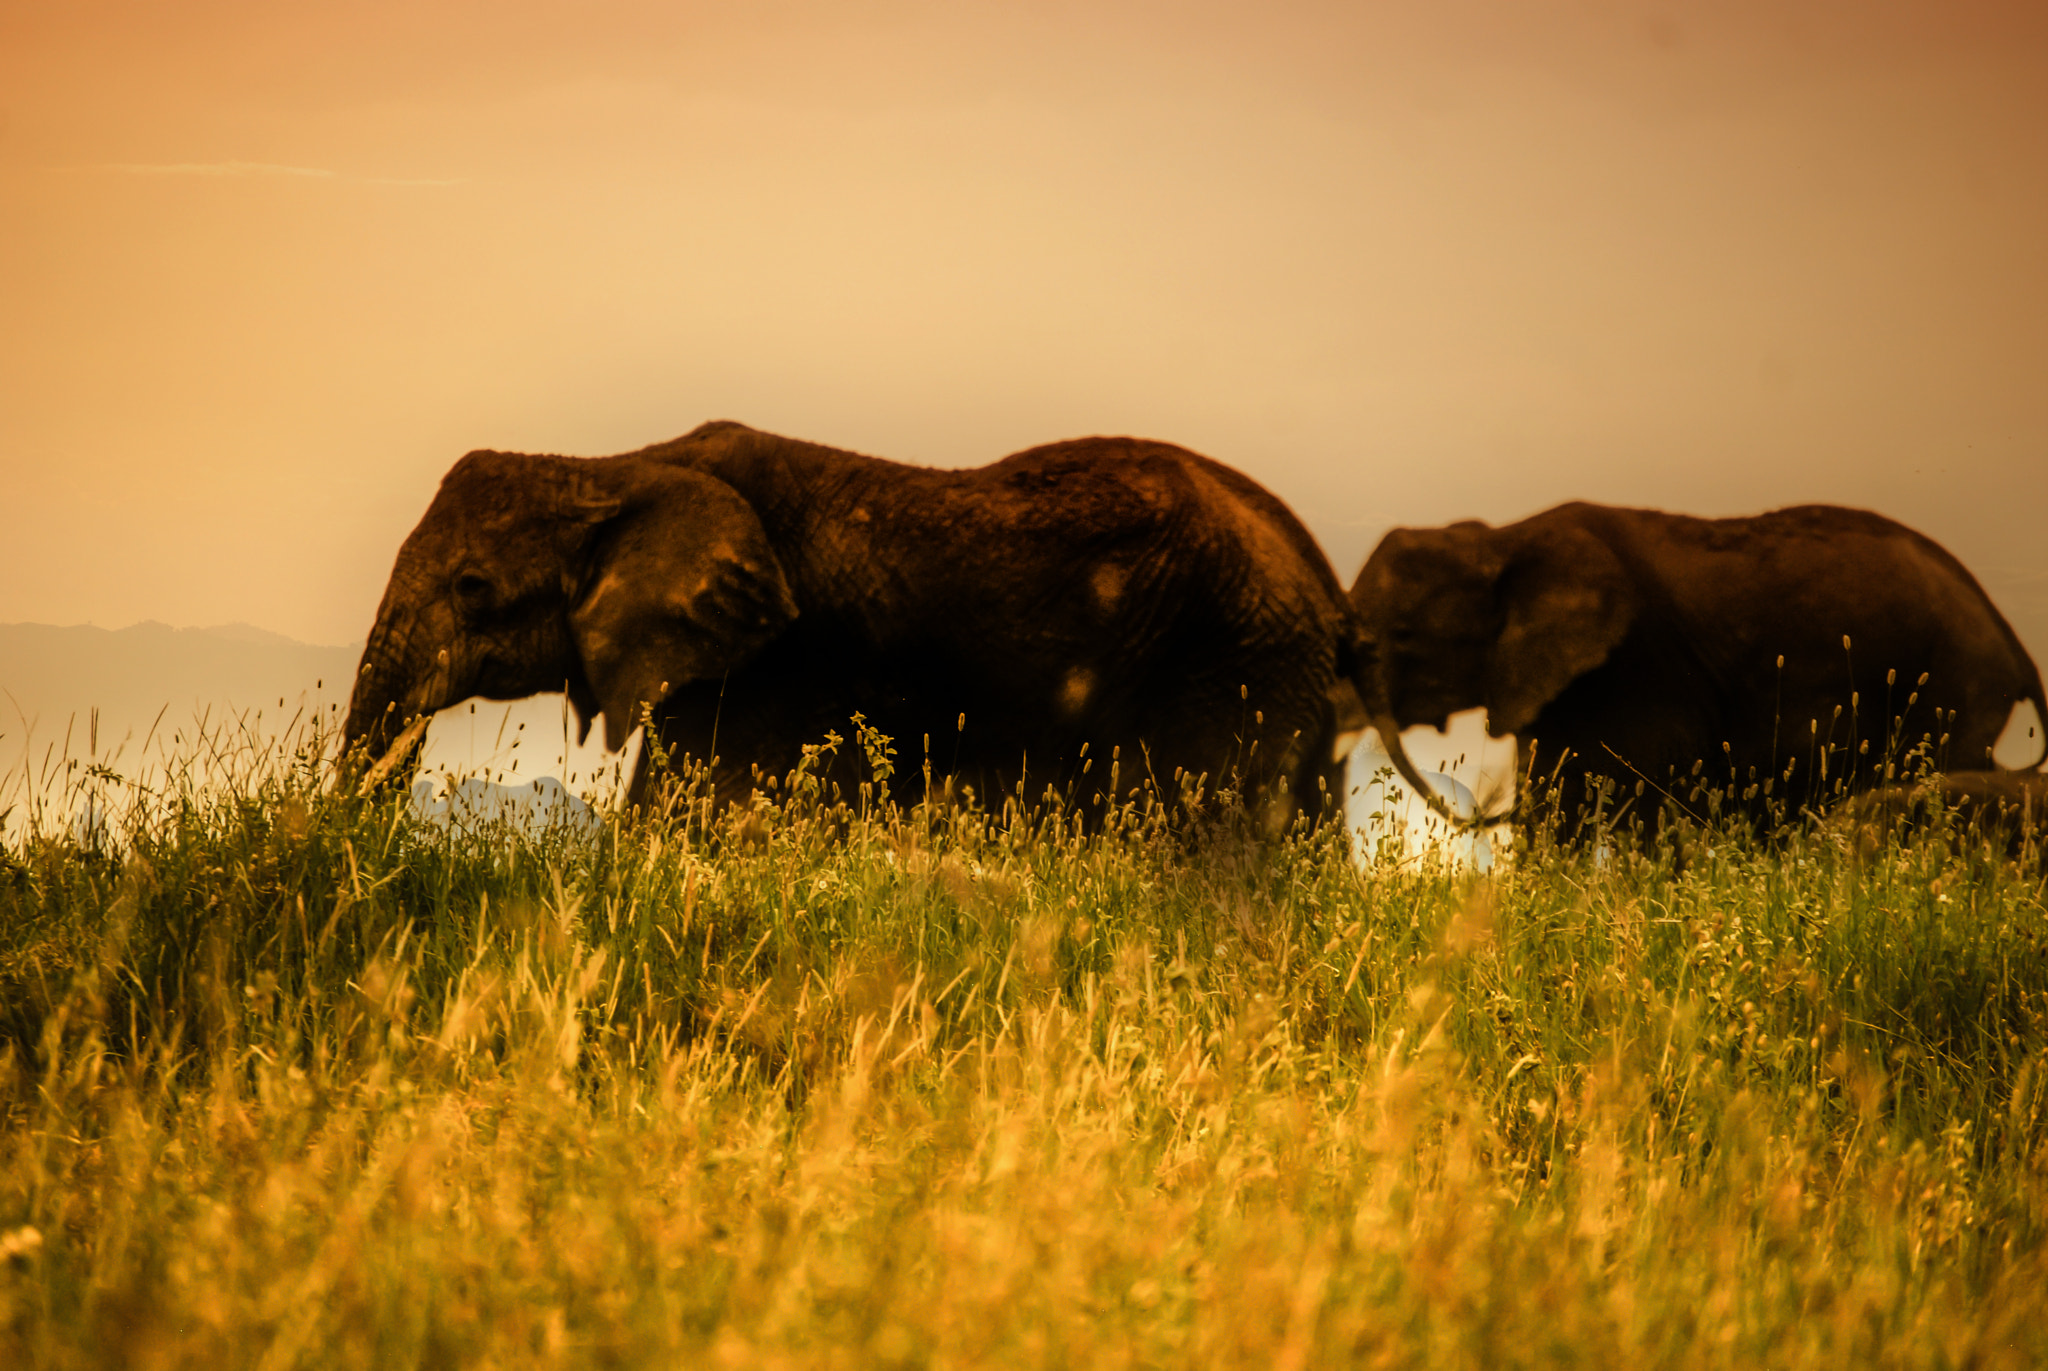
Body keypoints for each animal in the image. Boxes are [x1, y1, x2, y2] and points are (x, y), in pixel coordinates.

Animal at [1347, 501, 2046, 835]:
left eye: (1402, 637)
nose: (1471, 810)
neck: (1501, 540)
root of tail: (2004, 628)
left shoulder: (1639, 670)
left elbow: (1634, 808)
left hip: (1954, 680)